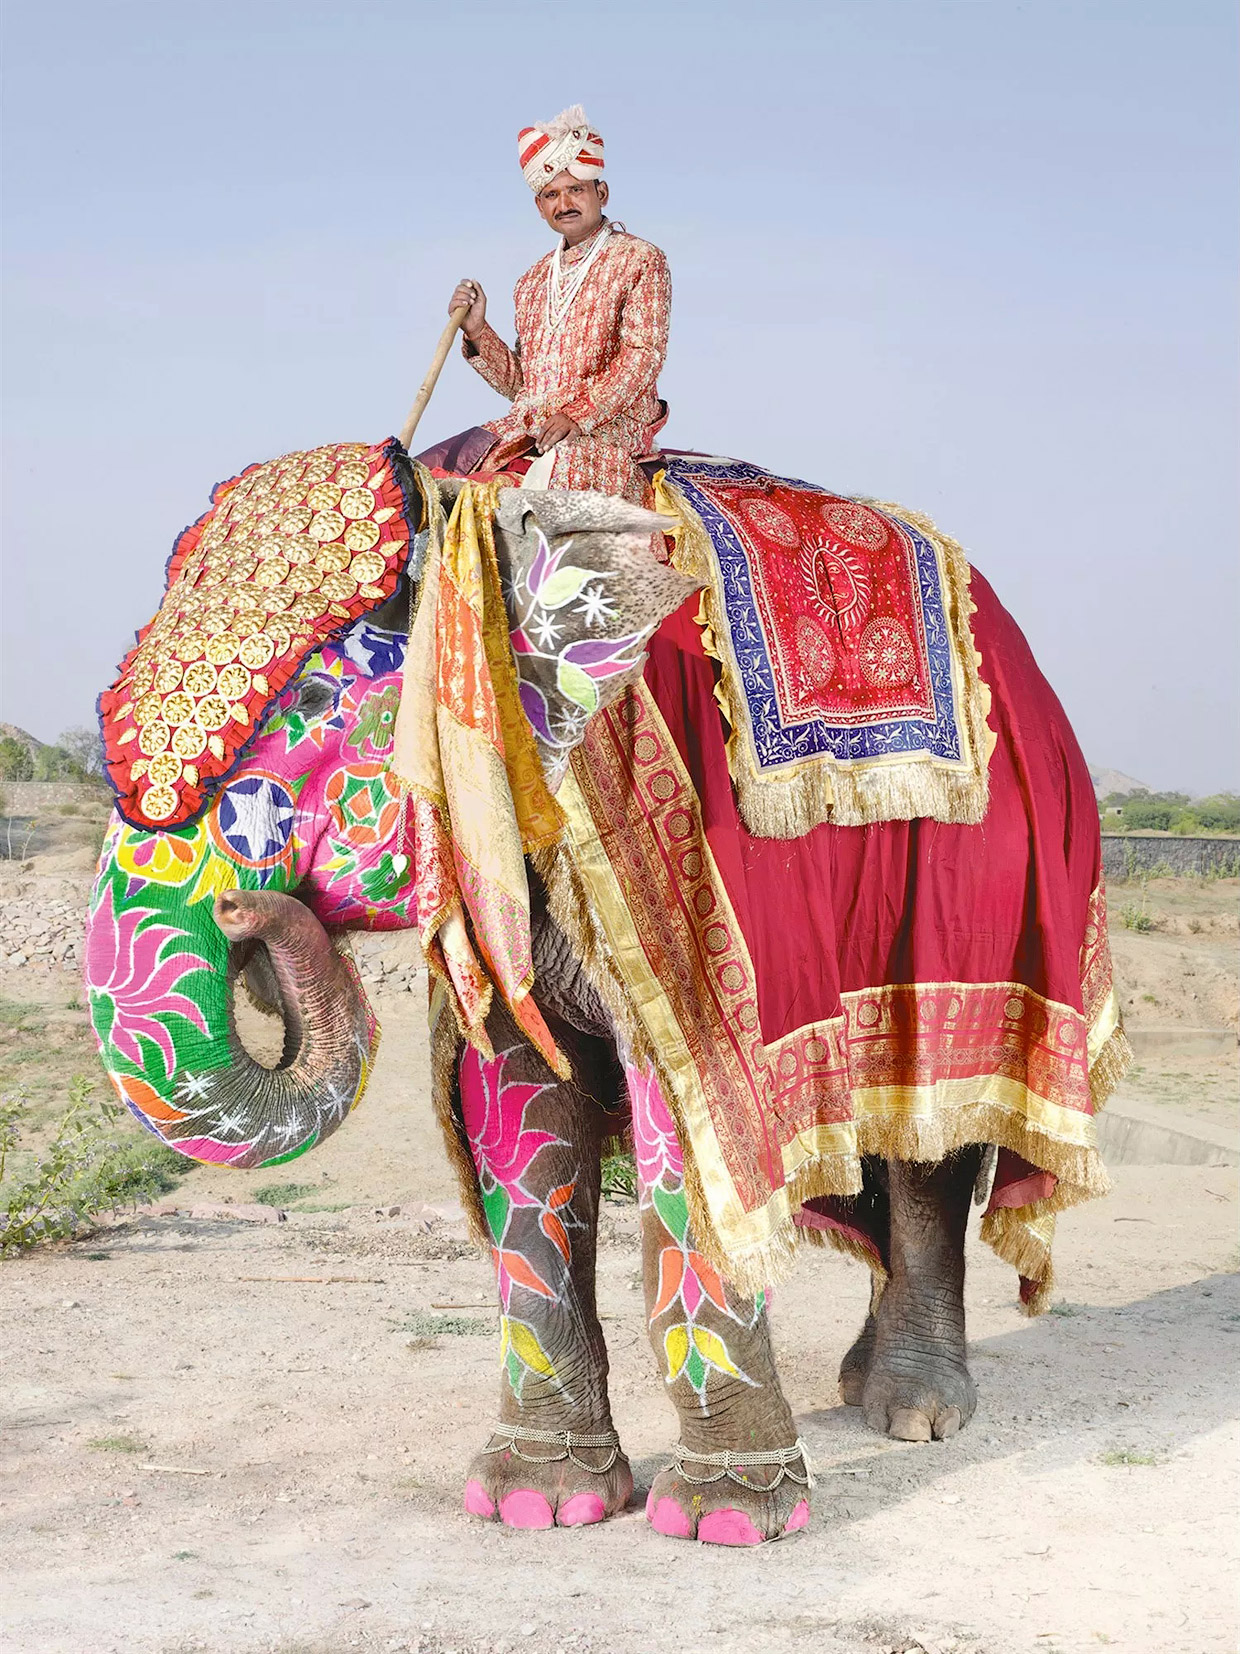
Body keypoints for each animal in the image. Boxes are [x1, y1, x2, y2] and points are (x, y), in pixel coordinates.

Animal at [80, 443, 1124, 1548]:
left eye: (316, 705)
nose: (247, 913)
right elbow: (518, 1113)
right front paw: (538, 1501)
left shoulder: (692, 882)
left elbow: (694, 1113)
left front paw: (724, 1520)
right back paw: (853, 1386)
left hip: (993, 891)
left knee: (931, 1133)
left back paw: (914, 1413)